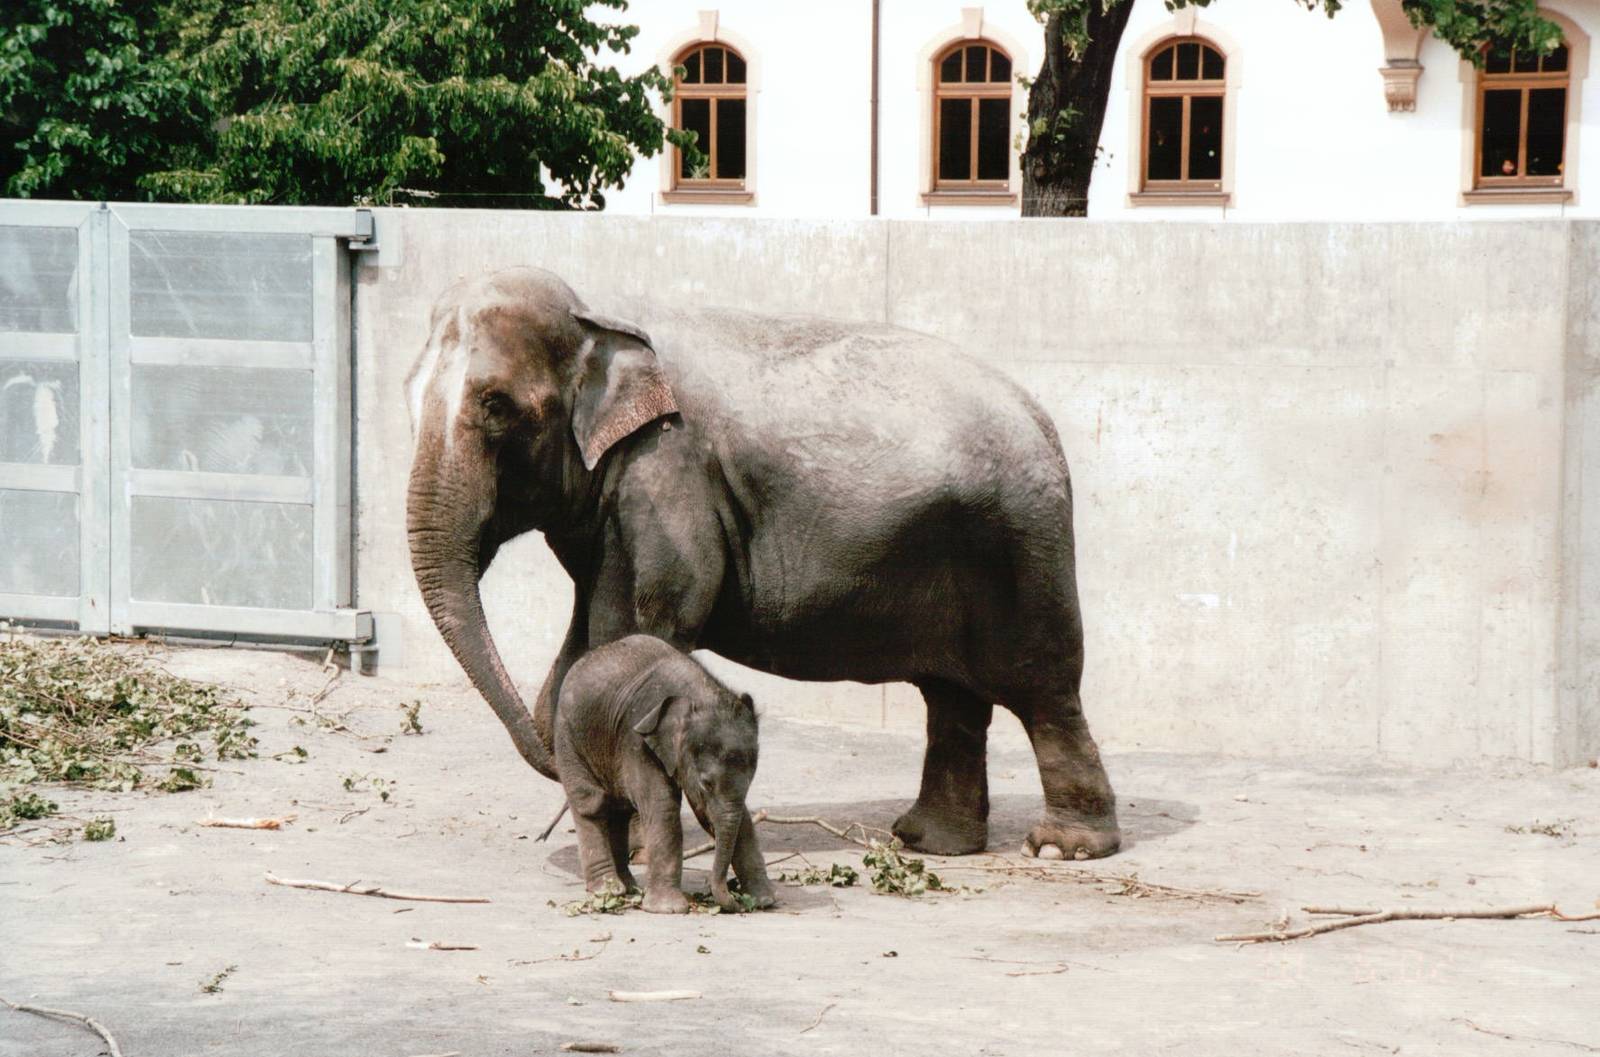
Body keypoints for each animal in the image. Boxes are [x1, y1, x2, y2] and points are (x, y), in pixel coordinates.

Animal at [404, 266, 1121, 861]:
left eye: (496, 405)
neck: (598, 311)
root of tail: (1043, 419)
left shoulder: (667, 472)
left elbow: (647, 624)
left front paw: (631, 839)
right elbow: (590, 642)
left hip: (1021, 543)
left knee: (1042, 687)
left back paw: (1062, 847)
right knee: (953, 697)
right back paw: (930, 842)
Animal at [555, 633, 776, 913]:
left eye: (750, 780)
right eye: (706, 784)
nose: (735, 901)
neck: (697, 694)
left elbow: (736, 817)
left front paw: (764, 900)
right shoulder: (636, 741)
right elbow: (663, 807)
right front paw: (668, 909)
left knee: (619, 809)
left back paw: (628, 887)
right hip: (568, 737)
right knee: (591, 803)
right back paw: (608, 890)